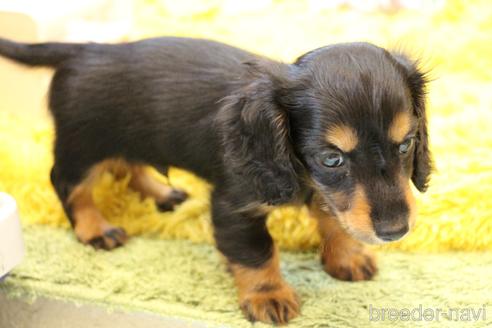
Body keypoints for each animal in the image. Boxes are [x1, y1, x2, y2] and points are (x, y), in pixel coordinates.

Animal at [0, 37, 430, 324]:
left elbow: (334, 217)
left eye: (406, 143)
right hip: (82, 148)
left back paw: (161, 192)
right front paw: (268, 295)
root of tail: (84, 49)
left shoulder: (328, 196)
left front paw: (346, 256)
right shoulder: (234, 205)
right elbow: (258, 250)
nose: (396, 230)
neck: (300, 172)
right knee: (67, 183)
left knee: (129, 166)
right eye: (331, 158)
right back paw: (95, 228)